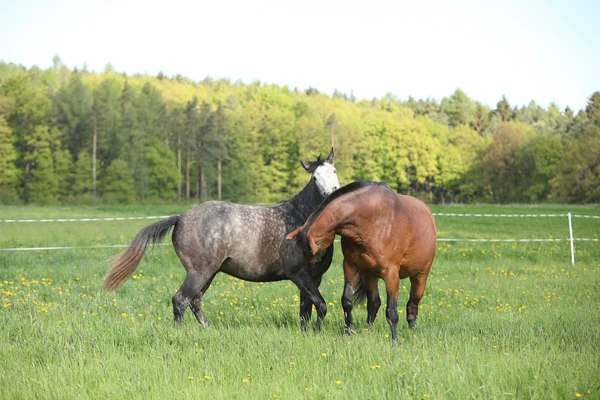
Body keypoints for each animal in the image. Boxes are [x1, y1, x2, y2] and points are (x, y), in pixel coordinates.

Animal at [102, 148, 338, 330]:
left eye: (334, 171)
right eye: (315, 177)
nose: (331, 193)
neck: (299, 220)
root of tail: (181, 217)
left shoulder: (313, 277)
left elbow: (306, 309)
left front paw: (306, 332)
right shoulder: (298, 274)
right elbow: (320, 305)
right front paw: (316, 331)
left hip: (209, 272)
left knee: (195, 301)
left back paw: (208, 328)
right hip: (199, 271)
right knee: (181, 300)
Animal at [288, 181, 436, 340]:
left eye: (310, 253)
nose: (311, 273)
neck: (373, 219)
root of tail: (428, 212)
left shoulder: (391, 274)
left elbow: (392, 311)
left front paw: (395, 340)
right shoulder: (351, 266)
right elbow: (347, 301)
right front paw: (348, 331)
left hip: (420, 275)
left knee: (412, 305)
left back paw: (412, 333)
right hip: (369, 275)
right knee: (374, 303)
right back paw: (369, 330)